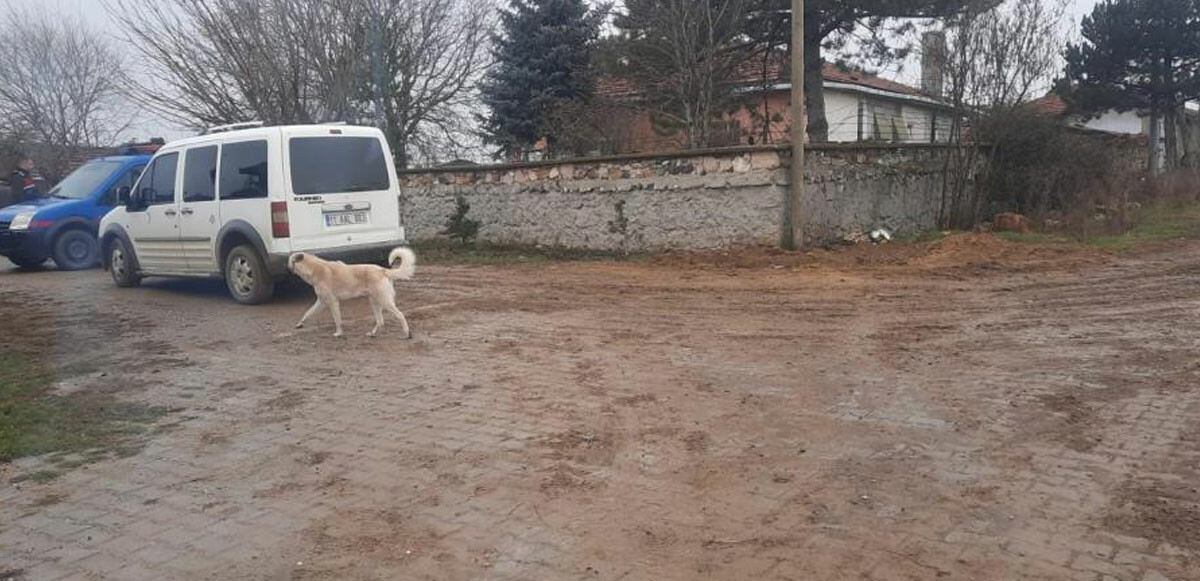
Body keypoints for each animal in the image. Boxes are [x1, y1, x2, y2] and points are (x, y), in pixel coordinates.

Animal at [286, 247, 415, 338]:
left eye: (289, 260)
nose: (286, 268)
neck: (315, 269)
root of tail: (383, 270)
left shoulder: (333, 302)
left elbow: (338, 320)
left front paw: (338, 333)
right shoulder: (321, 302)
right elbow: (308, 313)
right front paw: (299, 324)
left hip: (385, 301)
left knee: (400, 315)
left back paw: (407, 333)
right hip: (375, 302)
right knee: (380, 321)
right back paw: (372, 333)